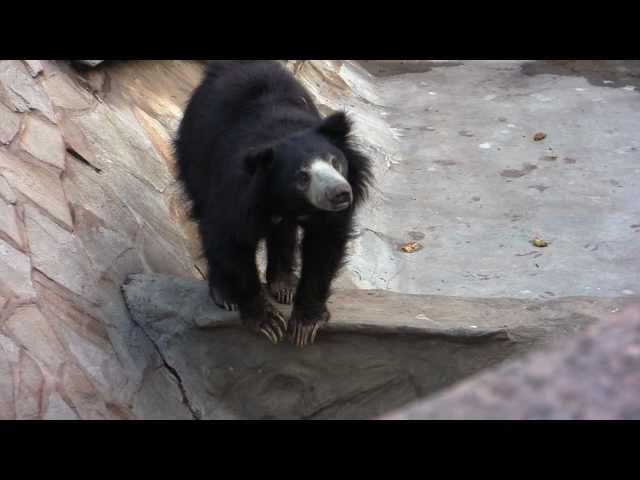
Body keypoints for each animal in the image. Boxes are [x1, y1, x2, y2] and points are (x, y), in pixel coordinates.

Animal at [178, 61, 372, 348]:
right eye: (302, 176)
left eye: (335, 161)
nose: (340, 193)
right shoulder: (237, 193)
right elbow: (230, 237)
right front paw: (266, 322)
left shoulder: (330, 214)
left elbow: (324, 245)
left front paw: (305, 323)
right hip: (195, 153)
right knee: (205, 216)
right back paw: (223, 292)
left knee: (282, 230)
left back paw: (284, 285)